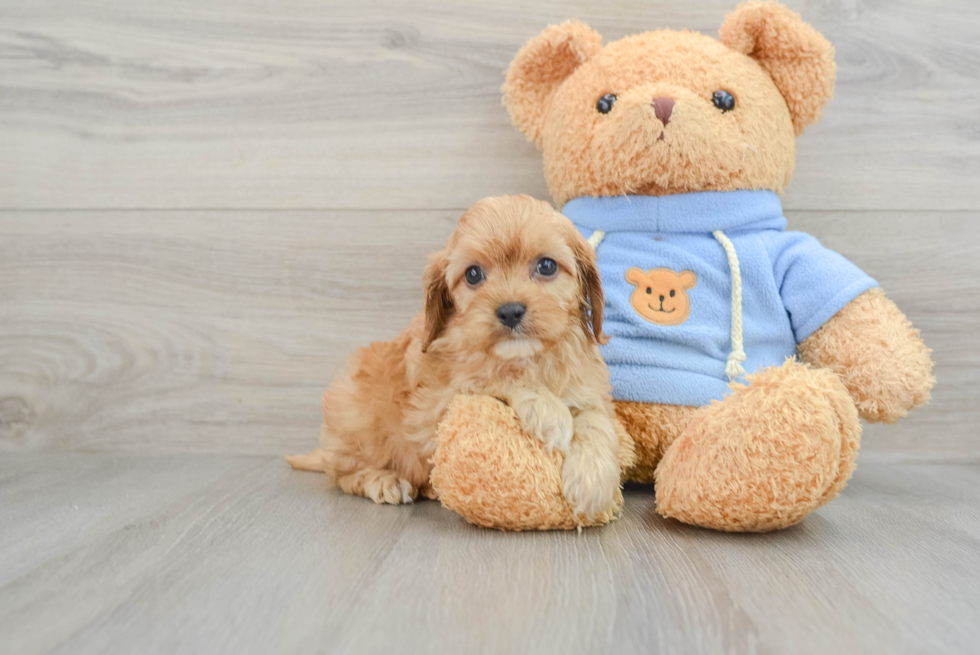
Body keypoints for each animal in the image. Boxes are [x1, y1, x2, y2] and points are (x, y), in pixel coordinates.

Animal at [284, 195, 620, 524]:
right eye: (473, 274)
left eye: (547, 266)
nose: (510, 311)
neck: (528, 357)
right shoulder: (433, 408)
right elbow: (490, 374)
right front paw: (550, 412)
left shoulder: (587, 388)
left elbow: (597, 420)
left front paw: (593, 481)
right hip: (356, 416)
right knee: (341, 473)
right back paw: (383, 480)